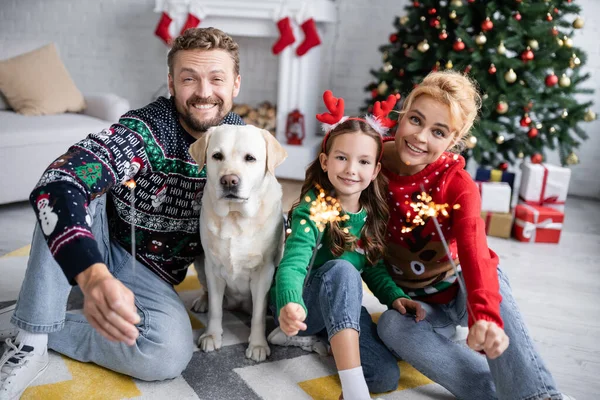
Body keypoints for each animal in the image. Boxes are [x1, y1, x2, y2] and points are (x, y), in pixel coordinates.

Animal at [190, 124, 288, 362]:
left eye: (250, 158)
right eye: (217, 156)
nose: (229, 180)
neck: (235, 216)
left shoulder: (264, 272)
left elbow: (258, 315)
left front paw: (258, 345)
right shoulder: (213, 268)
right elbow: (216, 309)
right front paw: (212, 336)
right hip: (200, 261)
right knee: (210, 294)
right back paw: (203, 301)